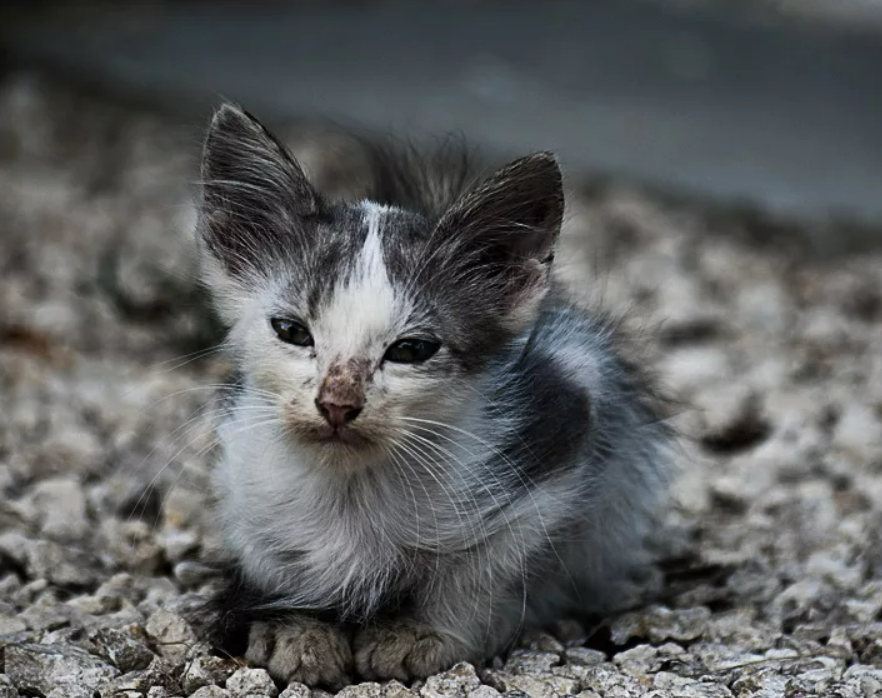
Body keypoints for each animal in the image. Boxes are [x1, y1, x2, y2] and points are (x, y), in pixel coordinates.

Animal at [196, 103, 672, 684]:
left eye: (410, 350)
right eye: (291, 331)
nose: (337, 404)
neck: (353, 489)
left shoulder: (561, 435)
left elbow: (483, 571)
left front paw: (423, 633)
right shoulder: (243, 477)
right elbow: (273, 556)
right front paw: (297, 628)